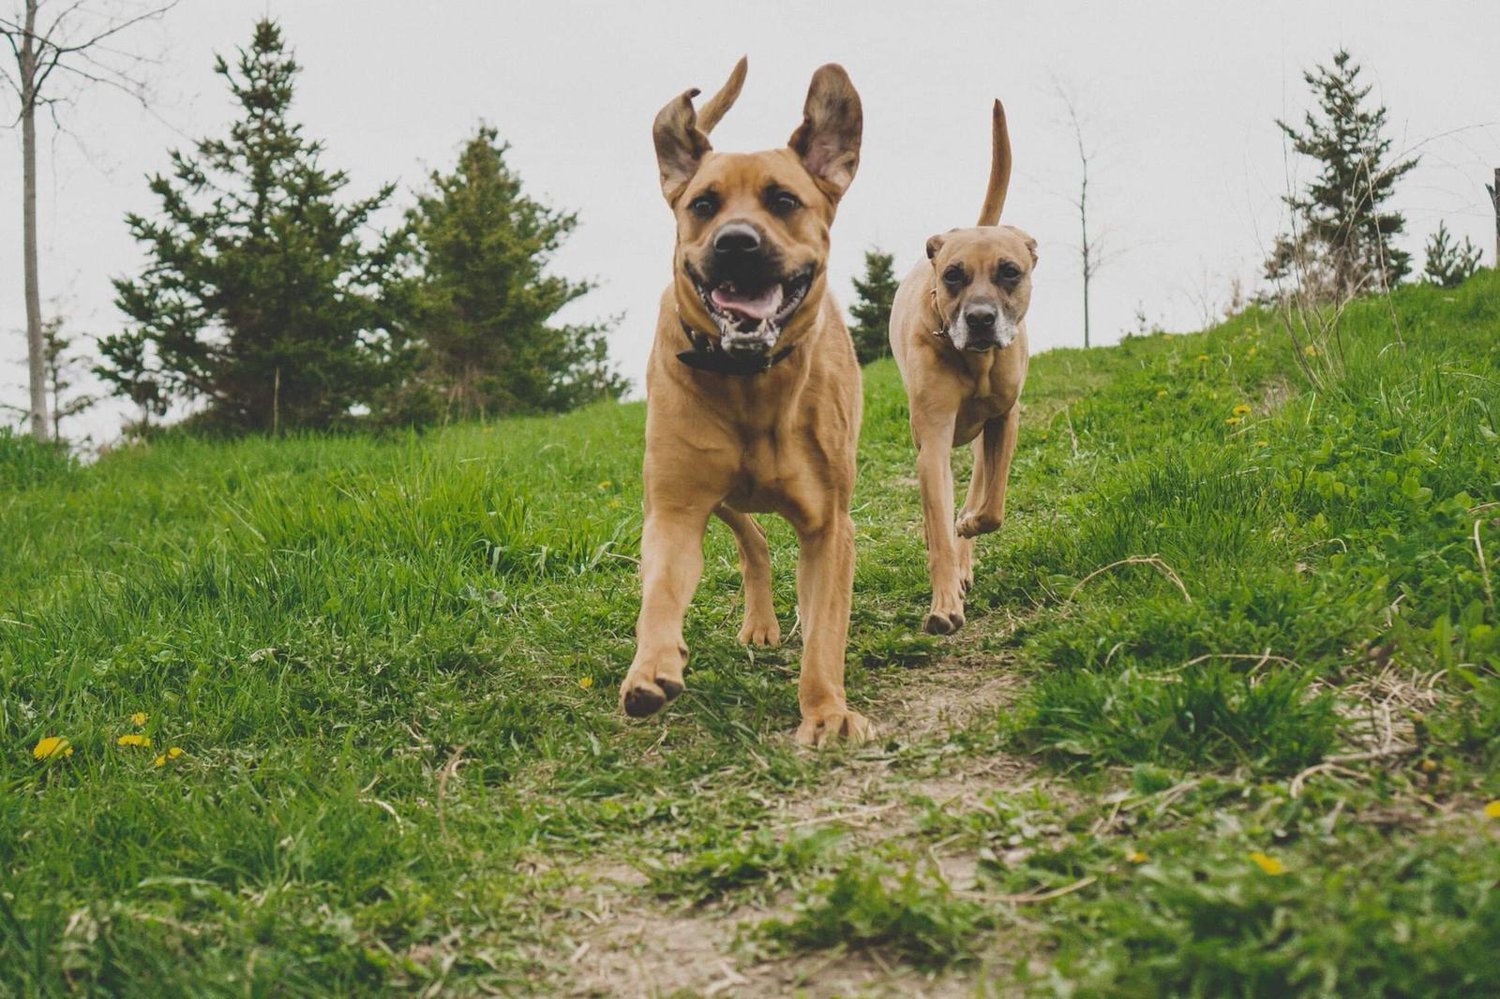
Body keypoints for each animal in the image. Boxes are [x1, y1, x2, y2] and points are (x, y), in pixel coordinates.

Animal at [618, 58, 871, 746]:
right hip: (713, 490)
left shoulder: (829, 525)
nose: (735, 242)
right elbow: (660, 590)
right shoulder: (675, 507)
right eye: (703, 205)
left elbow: (826, 627)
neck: (751, 381)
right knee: (751, 537)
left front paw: (825, 710)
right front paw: (651, 665)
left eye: (784, 200)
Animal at [888, 100, 1036, 635]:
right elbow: (938, 518)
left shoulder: (1005, 418)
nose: (979, 319)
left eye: (1009, 272)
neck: (973, 358)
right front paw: (944, 603)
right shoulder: (931, 438)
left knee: (979, 487)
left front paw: (969, 525)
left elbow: (991, 507)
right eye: (953, 275)